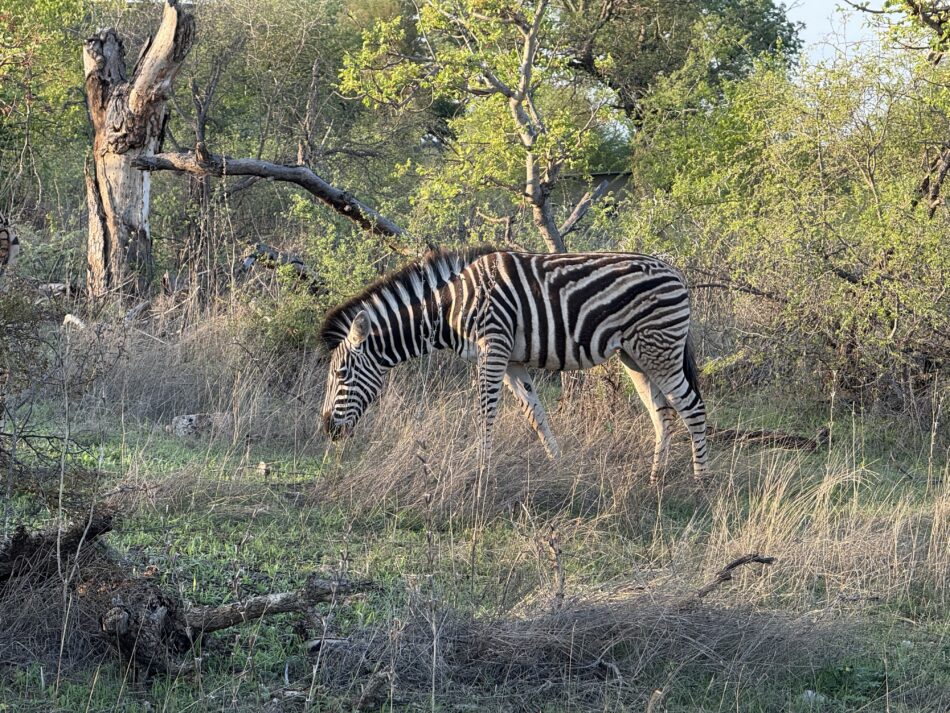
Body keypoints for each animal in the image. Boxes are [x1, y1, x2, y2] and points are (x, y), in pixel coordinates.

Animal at [320, 247, 708, 484]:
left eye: (341, 375)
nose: (327, 430)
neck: (449, 307)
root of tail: (674, 271)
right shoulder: (512, 361)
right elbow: (535, 414)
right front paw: (558, 466)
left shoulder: (493, 347)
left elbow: (485, 412)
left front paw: (481, 473)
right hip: (636, 357)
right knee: (663, 414)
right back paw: (656, 479)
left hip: (660, 349)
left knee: (693, 408)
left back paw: (700, 480)